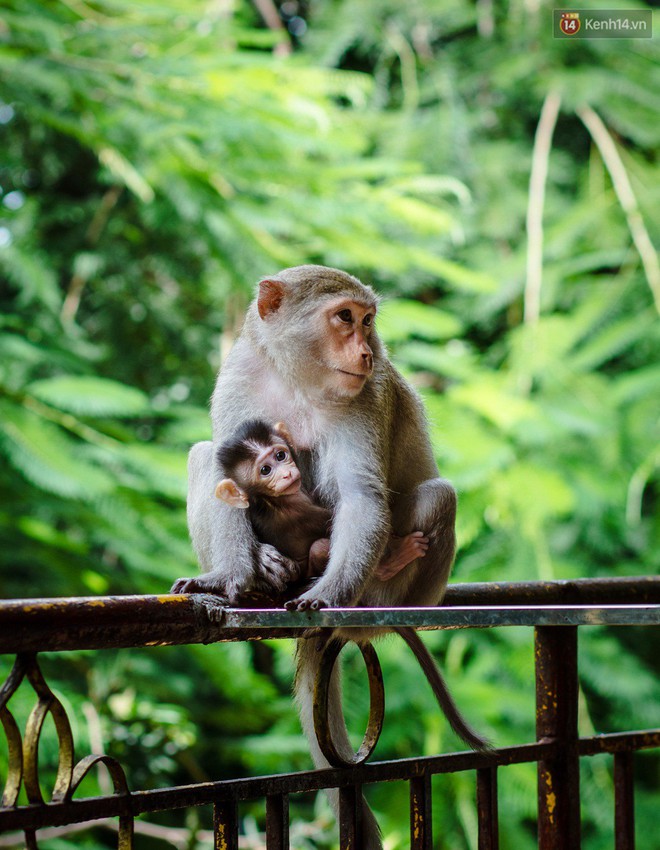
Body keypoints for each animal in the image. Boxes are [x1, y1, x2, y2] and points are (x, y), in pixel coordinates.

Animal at [214, 418, 428, 588]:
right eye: (265, 470)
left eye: (280, 455)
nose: (286, 474)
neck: (272, 500)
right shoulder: (299, 510)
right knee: (320, 546)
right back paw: (394, 559)